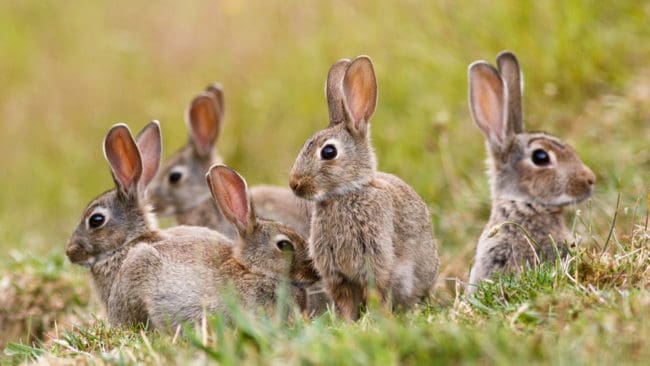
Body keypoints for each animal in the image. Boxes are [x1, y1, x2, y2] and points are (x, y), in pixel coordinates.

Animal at [290, 55, 438, 320]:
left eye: (329, 152)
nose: (294, 184)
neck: (346, 193)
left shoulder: (376, 262)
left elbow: (377, 294)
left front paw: (379, 320)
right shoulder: (337, 275)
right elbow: (344, 302)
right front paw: (347, 323)